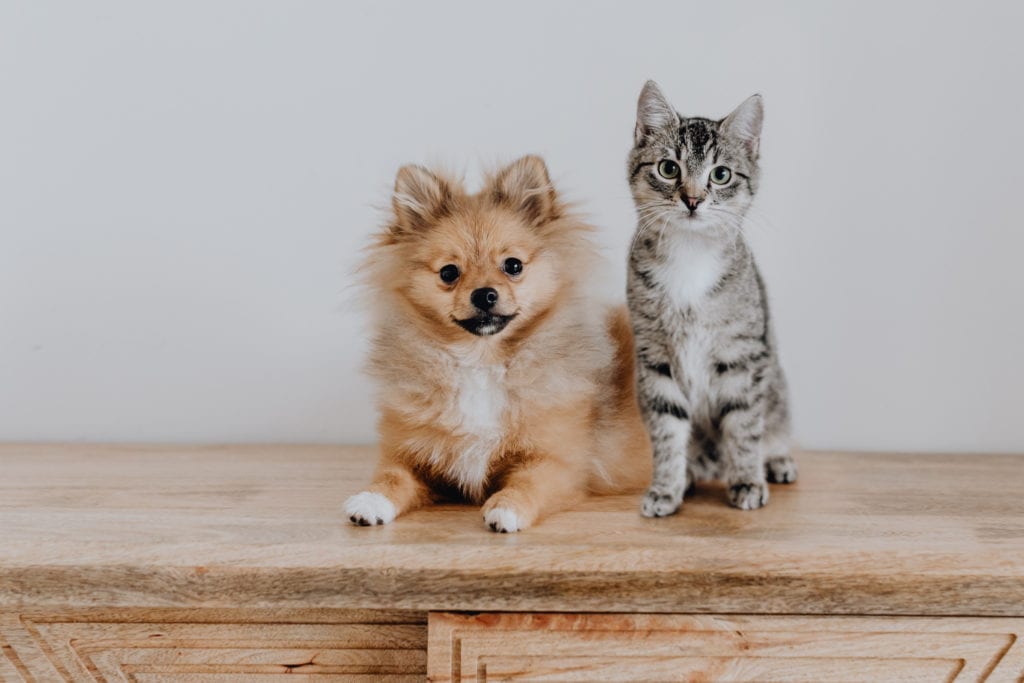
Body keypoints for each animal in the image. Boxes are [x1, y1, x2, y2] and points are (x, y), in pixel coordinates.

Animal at [342, 156, 647, 532]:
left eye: (512, 265)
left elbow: (527, 483)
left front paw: (506, 507)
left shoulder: (557, 462)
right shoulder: (412, 455)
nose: (484, 294)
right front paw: (370, 500)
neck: (480, 361)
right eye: (449, 273)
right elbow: (391, 477)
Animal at [622, 80, 798, 516]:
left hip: (778, 392)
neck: (689, 254)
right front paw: (665, 488)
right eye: (669, 168)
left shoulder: (742, 356)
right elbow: (667, 431)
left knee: (771, 429)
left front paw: (747, 480)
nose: (693, 199)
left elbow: (744, 427)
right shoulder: (655, 358)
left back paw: (776, 462)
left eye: (720, 175)